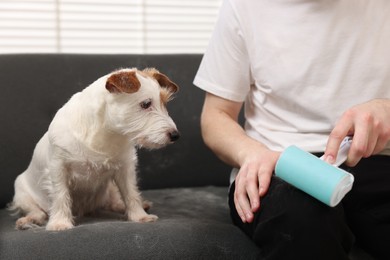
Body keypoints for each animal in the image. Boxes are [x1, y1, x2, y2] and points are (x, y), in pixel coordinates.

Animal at [8, 67, 180, 232]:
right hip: (22, 194)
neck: (106, 133)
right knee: (38, 211)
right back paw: (28, 220)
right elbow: (60, 195)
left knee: (114, 201)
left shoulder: (125, 169)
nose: (175, 135)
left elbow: (131, 193)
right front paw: (59, 223)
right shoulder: (58, 168)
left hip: (110, 187)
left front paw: (139, 216)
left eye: (164, 103)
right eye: (145, 104)